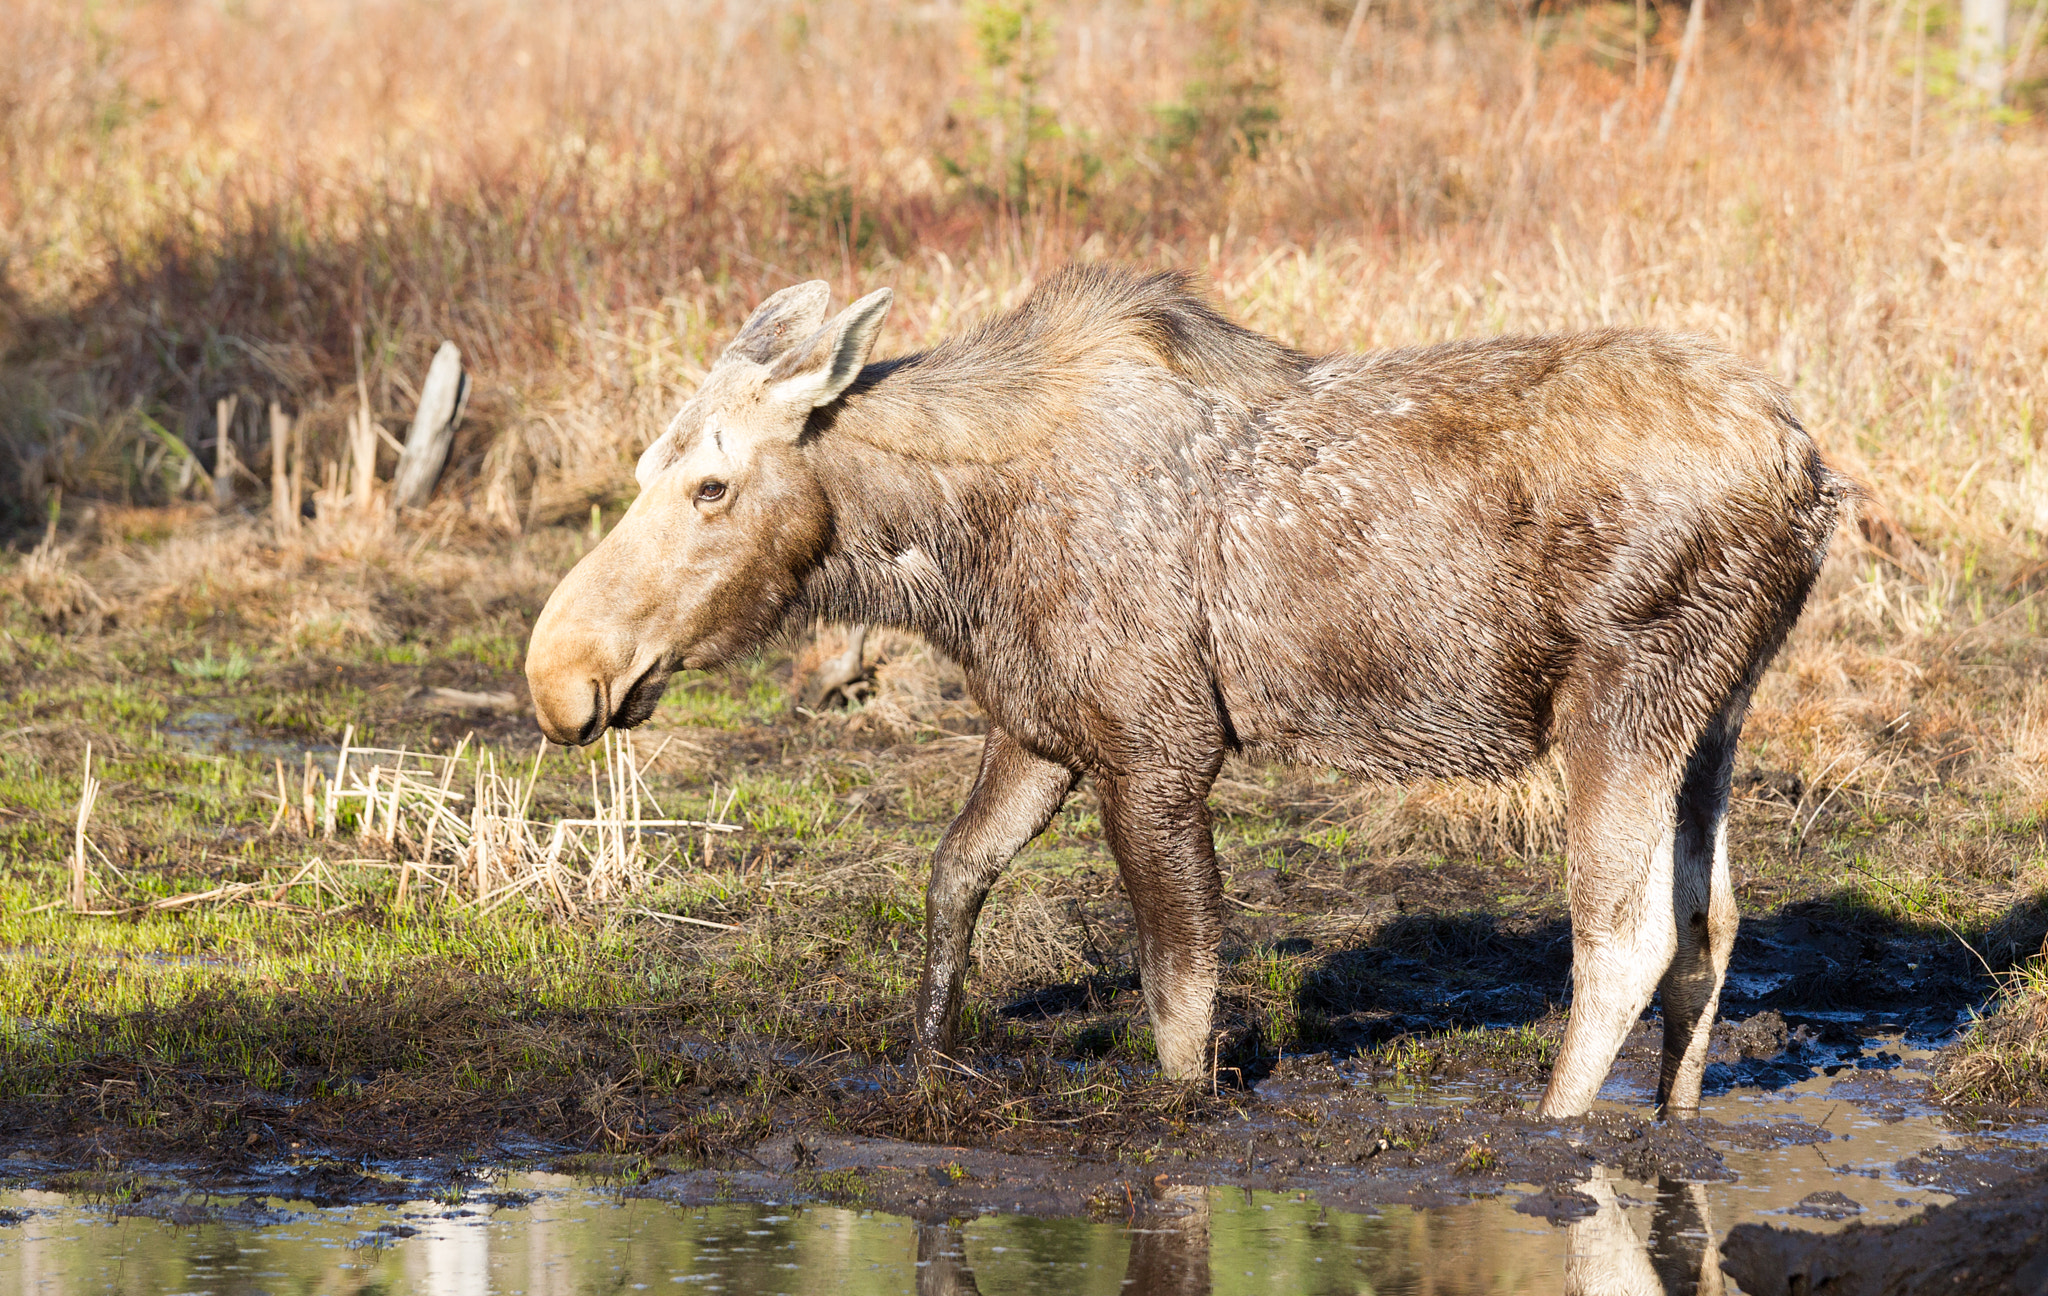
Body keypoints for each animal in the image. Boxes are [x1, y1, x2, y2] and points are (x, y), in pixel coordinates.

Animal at [526, 266, 1847, 1117]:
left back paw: (1554, 1133)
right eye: (645, 467)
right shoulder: (1040, 726)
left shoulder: (1160, 741)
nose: (559, 674)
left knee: (1621, 937)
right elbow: (953, 877)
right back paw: (1670, 1124)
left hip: (1619, 699)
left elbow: (1179, 988)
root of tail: (1812, 471)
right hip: (1714, 713)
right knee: (1711, 923)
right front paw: (929, 1065)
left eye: (708, 485)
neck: (943, 557)